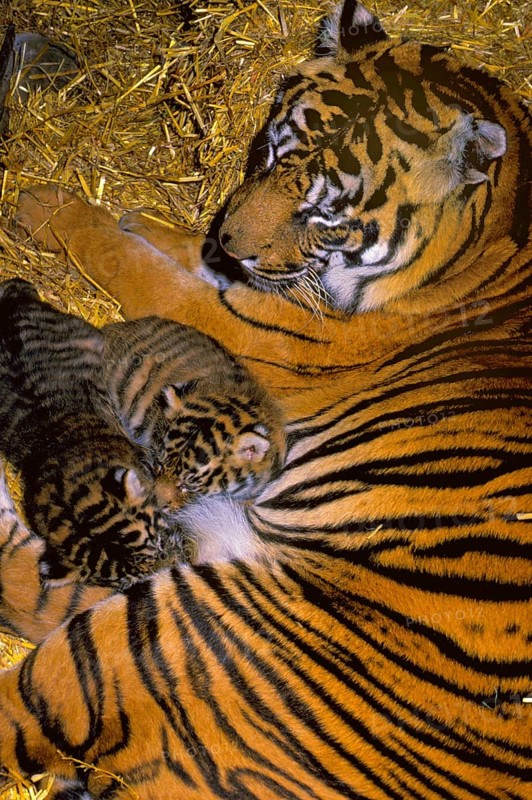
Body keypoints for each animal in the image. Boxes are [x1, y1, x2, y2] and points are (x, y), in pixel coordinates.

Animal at [2, 1, 531, 798]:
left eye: (324, 214)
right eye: (270, 154)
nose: (229, 238)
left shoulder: (252, 326)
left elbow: (128, 263)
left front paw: (47, 207)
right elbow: (168, 246)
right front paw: (137, 219)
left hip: (157, 634)